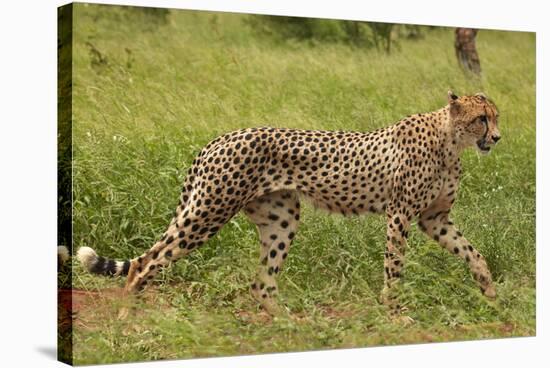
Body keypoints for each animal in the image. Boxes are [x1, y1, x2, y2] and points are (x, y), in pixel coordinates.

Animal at [78, 92, 504, 316]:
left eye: (496, 117)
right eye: (482, 118)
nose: (498, 138)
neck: (450, 140)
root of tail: (218, 138)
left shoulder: (435, 218)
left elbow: (472, 252)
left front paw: (490, 292)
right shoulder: (399, 214)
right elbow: (395, 265)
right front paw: (394, 309)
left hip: (280, 219)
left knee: (261, 283)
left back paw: (292, 324)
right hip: (209, 210)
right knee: (146, 262)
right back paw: (128, 315)